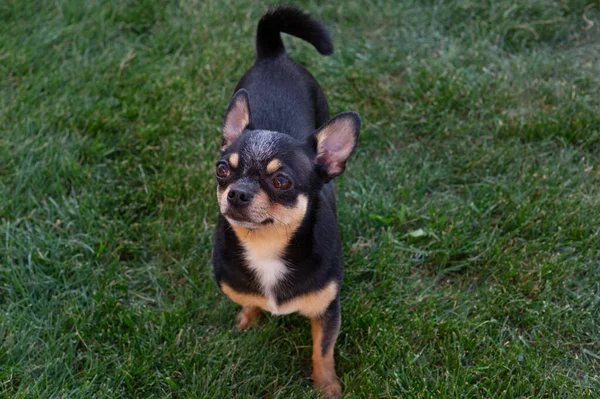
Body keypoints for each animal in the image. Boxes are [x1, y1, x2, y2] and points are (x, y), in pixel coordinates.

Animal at [212, 5, 360, 396]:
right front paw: (248, 319)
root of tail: (274, 54)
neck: (267, 246)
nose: (237, 192)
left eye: (282, 181)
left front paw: (326, 386)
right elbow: (248, 302)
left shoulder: (328, 309)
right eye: (222, 170)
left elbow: (322, 350)